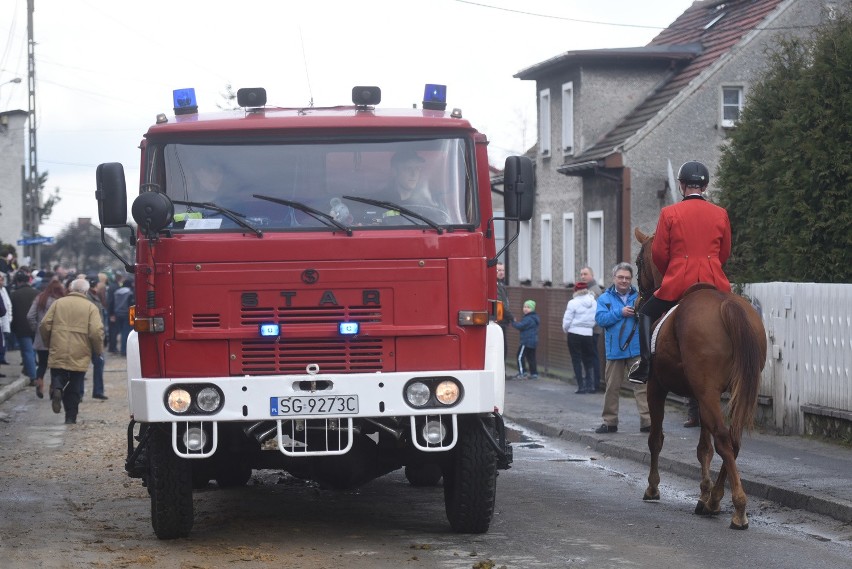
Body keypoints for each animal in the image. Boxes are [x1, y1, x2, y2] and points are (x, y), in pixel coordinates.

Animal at [632, 226, 764, 528]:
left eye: (638, 262)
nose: (638, 300)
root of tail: (727, 304)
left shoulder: (656, 387)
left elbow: (656, 438)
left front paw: (652, 487)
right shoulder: (700, 394)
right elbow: (704, 447)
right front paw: (704, 493)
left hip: (706, 392)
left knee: (724, 440)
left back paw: (737, 508)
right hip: (728, 391)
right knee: (732, 440)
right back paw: (715, 500)